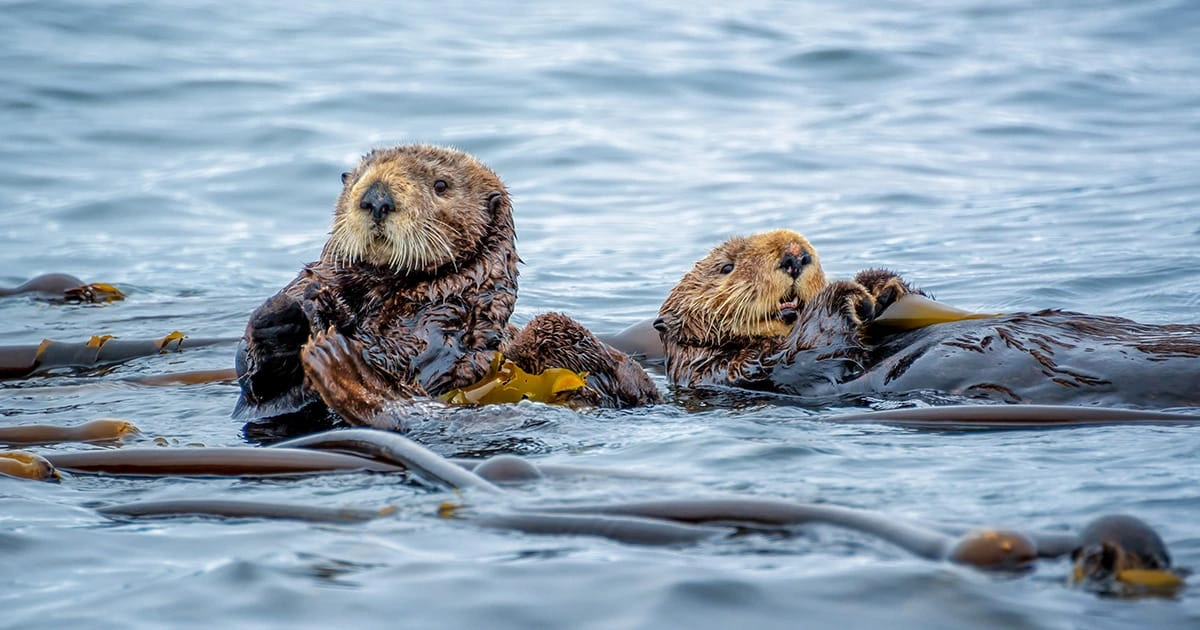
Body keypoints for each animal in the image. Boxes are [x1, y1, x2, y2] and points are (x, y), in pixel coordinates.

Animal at [234, 145, 659, 429]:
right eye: (357, 178)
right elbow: (259, 386)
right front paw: (283, 315)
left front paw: (332, 323)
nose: (376, 197)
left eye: (441, 185)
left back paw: (339, 365)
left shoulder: (445, 319)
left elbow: (403, 358)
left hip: (560, 335)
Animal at [655, 230, 1200, 408]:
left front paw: (881, 284)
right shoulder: (747, 374)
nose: (794, 253)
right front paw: (846, 291)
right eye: (726, 267)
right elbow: (813, 356)